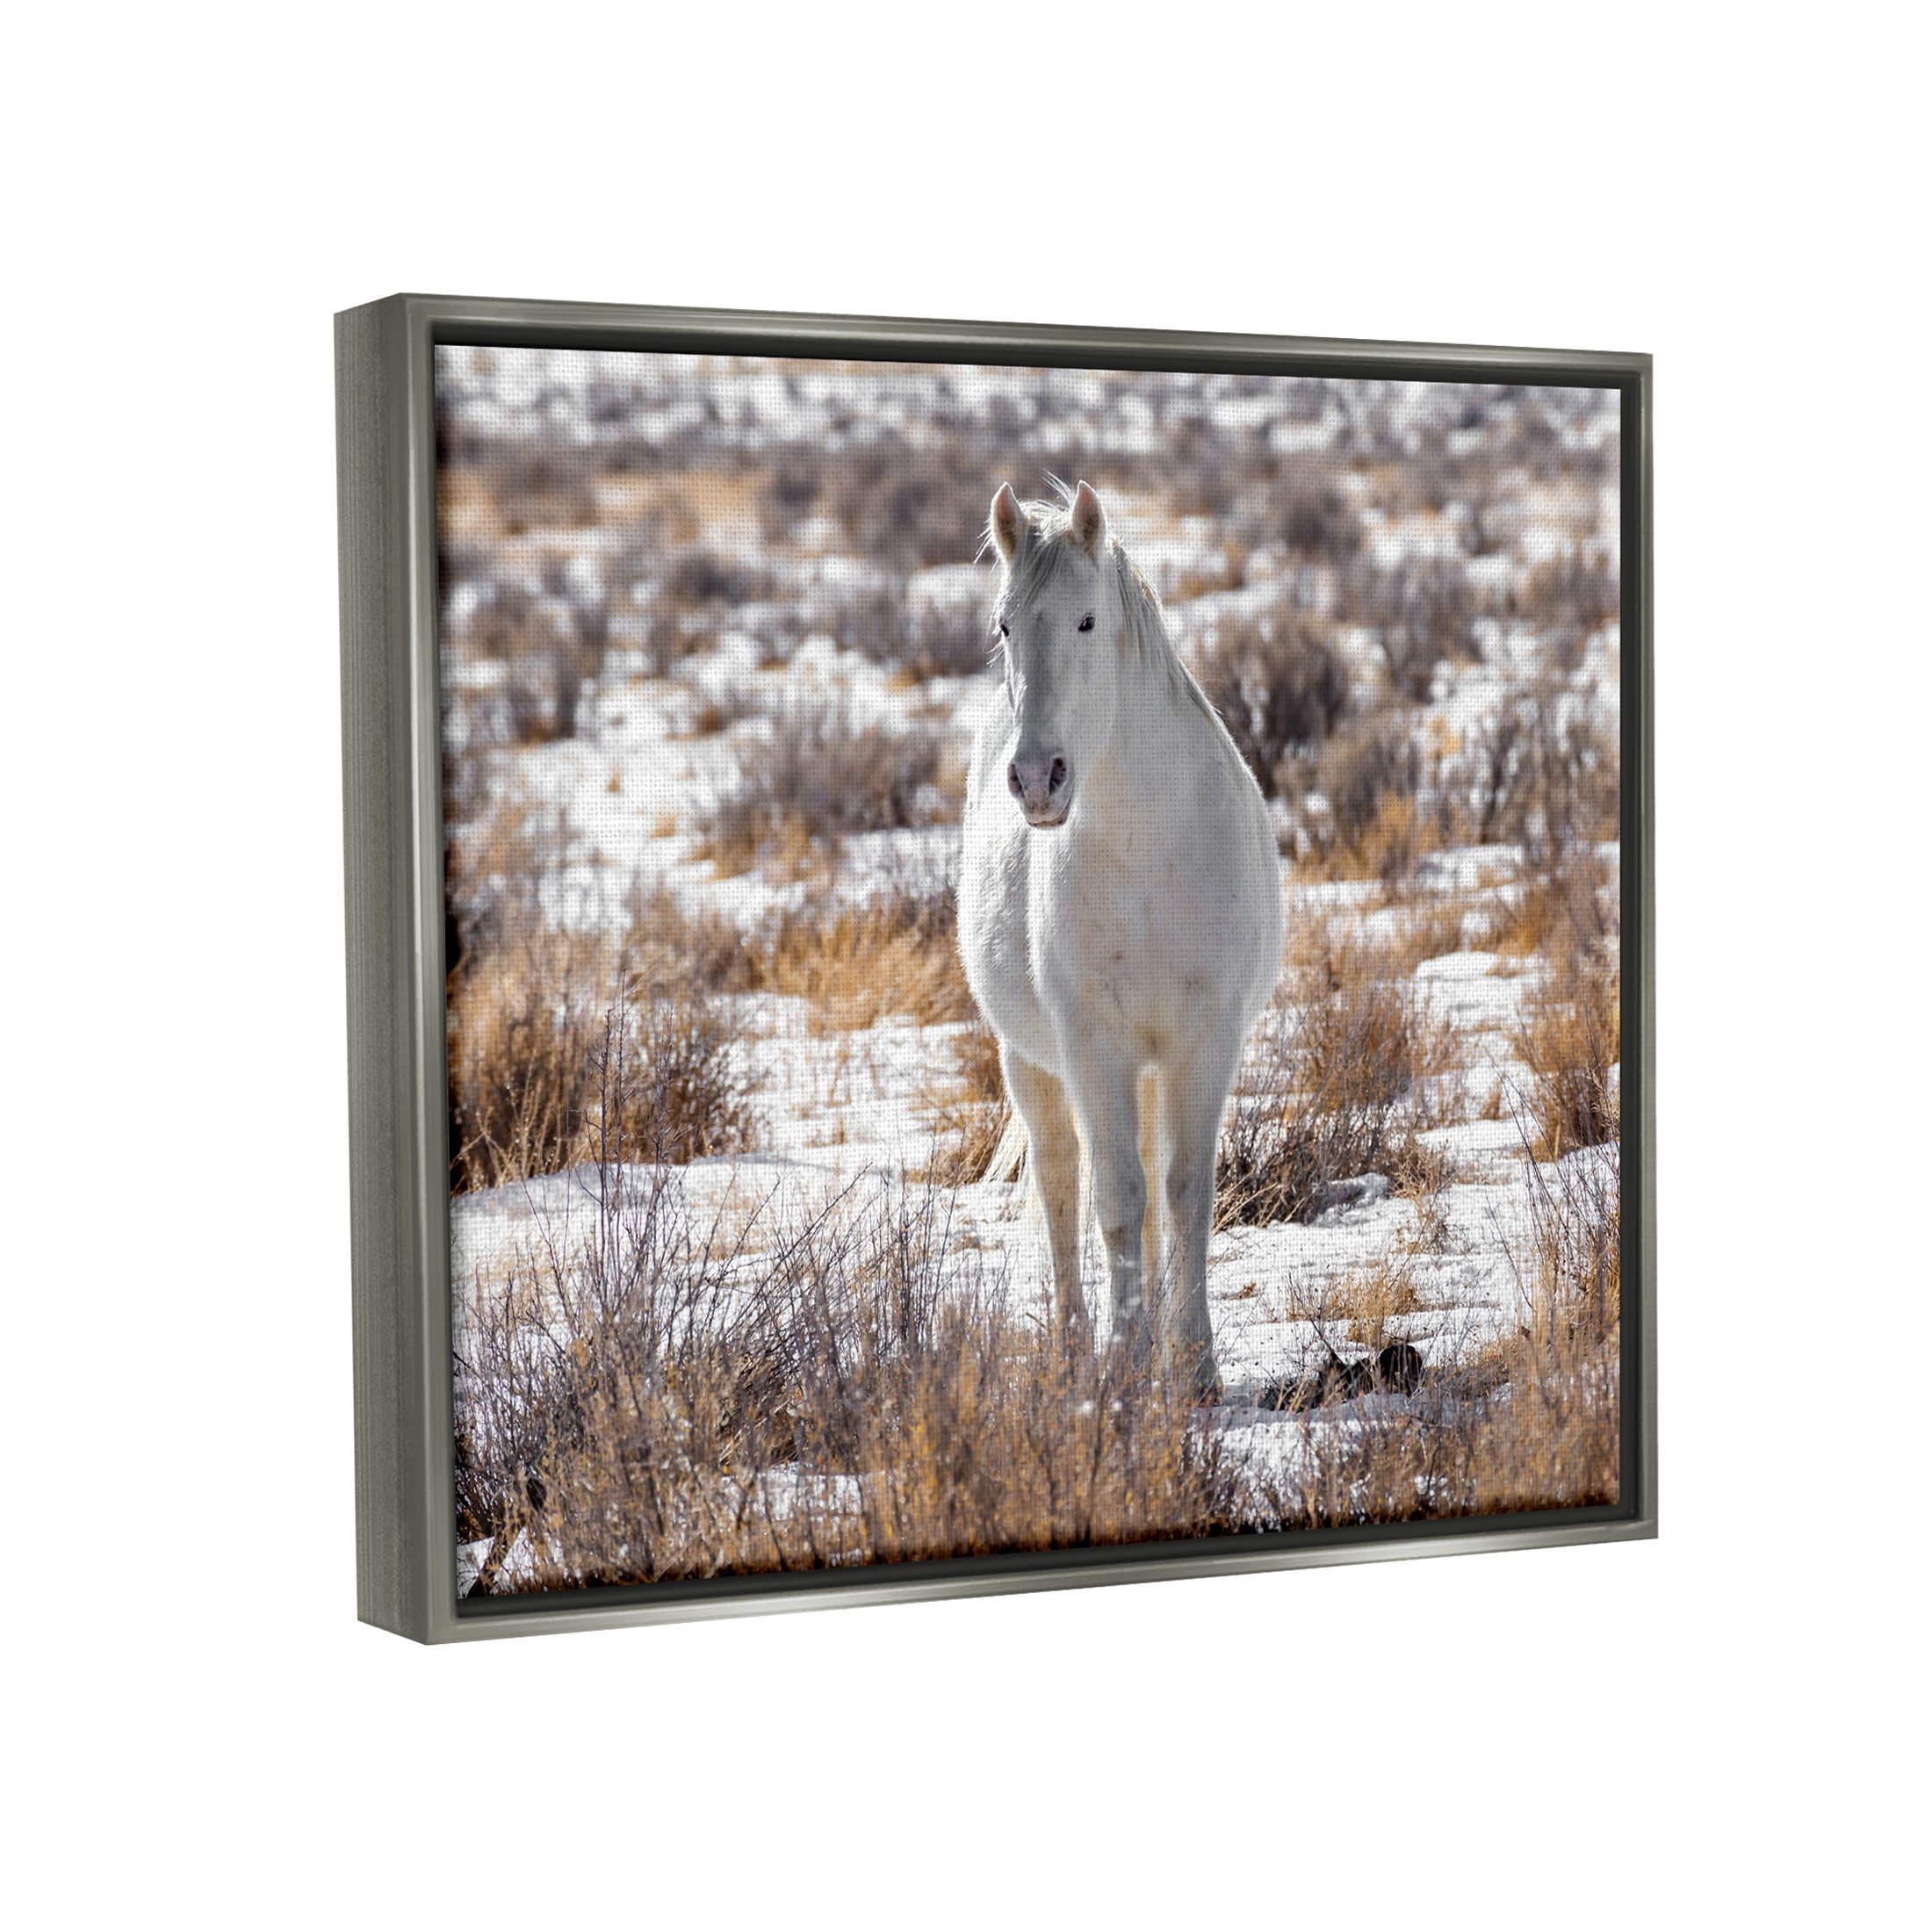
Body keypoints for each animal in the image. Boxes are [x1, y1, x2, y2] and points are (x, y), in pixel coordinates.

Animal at [958, 480, 1283, 1398]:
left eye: (1087, 620)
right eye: (1005, 625)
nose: (1038, 779)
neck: (1147, 849)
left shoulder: (1204, 1040)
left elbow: (1184, 1192)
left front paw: (1196, 1366)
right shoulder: (1092, 1045)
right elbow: (1114, 1199)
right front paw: (1127, 1366)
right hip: (1030, 1061)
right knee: (1063, 1185)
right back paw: (1077, 1346)